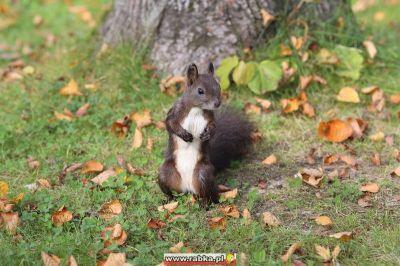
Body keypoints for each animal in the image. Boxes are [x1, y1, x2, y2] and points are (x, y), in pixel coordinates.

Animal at [157, 62, 253, 204]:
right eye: (200, 91)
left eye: (218, 86)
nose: (217, 103)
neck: (196, 108)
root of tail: (188, 187)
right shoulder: (175, 112)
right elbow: (169, 123)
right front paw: (184, 134)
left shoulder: (210, 118)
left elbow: (214, 127)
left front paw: (207, 135)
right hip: (165, 174)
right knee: (171, 191)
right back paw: (168, 200)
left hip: (203, 174)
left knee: (210, 196)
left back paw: (205, 204)